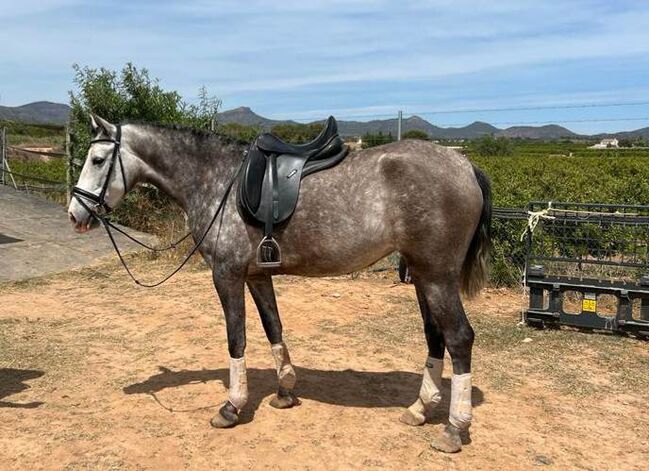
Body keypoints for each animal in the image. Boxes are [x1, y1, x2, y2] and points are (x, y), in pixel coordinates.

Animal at [67, 115, 492, 454]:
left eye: (98, 160)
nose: (75, 214)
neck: (216, 179)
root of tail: (464, 165)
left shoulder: (226, 274)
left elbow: (236, 338)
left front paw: (232, 406)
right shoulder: (257, 275)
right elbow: (274, 327)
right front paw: (285, 391)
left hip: (437, 277)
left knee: (459, 338)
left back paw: (454, 429)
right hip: (422, 276)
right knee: (434, 337)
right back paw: (420, 409)